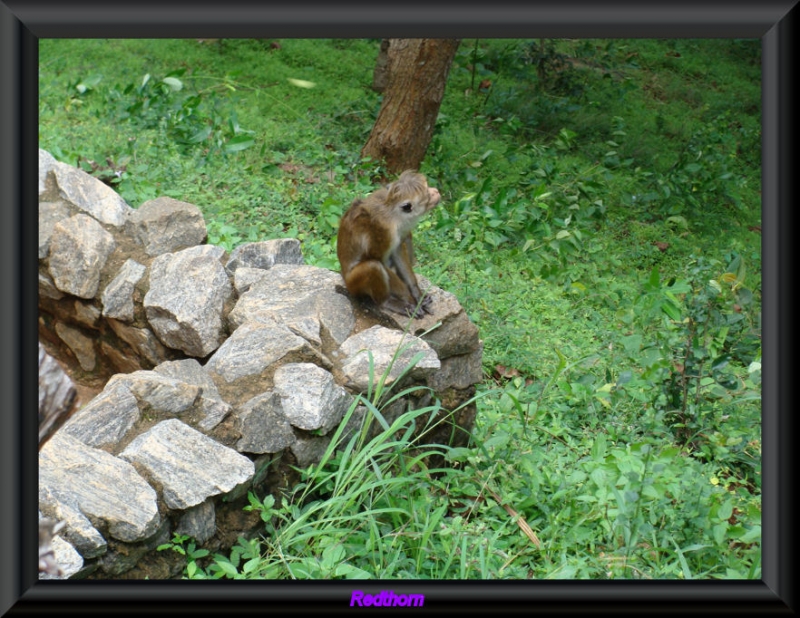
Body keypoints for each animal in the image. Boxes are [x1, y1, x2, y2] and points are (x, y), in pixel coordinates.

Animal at [334, 172, 440, 320]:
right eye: (427, 193)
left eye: (428, 187)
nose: (435, 191)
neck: (394, 213)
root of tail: (343, 274)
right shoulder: (383, 231)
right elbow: (378, 259)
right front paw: (411, 301)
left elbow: (397, 250)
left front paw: (417, 295)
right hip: (353, 285)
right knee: (373, 266)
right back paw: (386, 301)